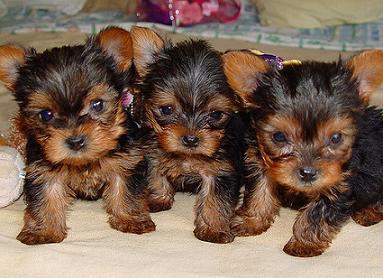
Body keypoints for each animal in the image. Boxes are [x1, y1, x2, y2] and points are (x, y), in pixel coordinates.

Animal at [0, 26, 156, 243]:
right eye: (46, 115)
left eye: (97, 104)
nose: (75, 141)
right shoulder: (42, 168)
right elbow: (46, 196)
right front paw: (44, 231)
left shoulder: (127, 160)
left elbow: (126, 189)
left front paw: (130, 219)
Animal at [131, 26, 246, 243]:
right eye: (167, 109)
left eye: (216, 114)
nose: (191, 139)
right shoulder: (154, 153)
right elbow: (155, 176)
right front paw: (157, 198)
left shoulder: (219, 170)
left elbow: (215, 199)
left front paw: (213, 230)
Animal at [224, 48, 383, 255]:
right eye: (279, 136)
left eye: (336, 138)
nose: (308, 173)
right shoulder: (260, 163)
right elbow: (260, 192)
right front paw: (251, 221)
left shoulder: (338, 183)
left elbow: (316, 215)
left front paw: (303, 245)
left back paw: (369, 211)